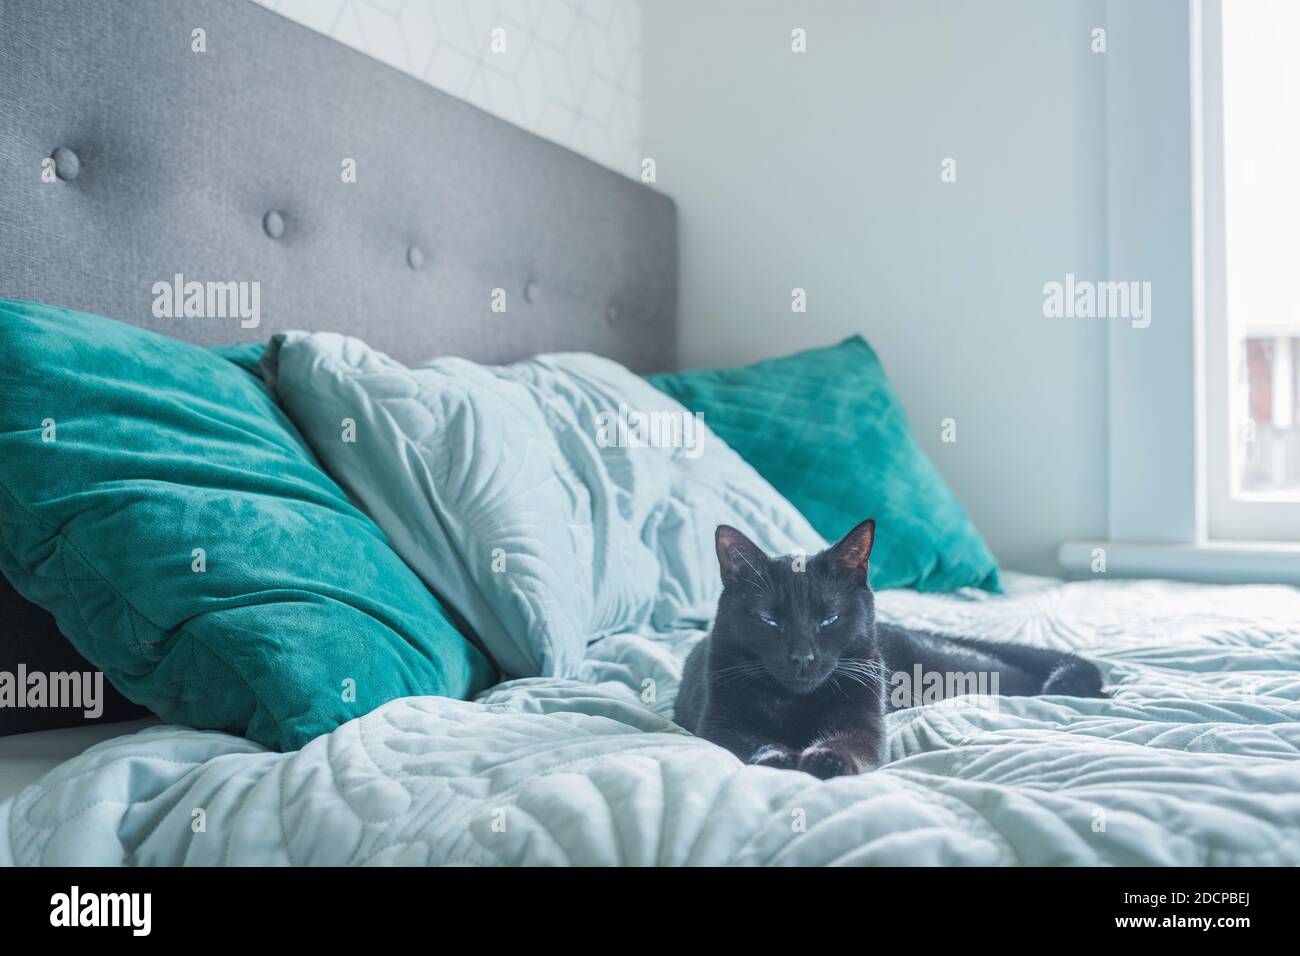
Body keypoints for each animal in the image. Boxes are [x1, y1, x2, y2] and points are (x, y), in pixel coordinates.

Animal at [670, 520, 1107, 780]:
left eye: (828, 620)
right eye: (770, 622)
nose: (802, 658)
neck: (796, 703)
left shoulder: (864, 720)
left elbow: (852, 742)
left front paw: (826, 759)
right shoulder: (722, 722)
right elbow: (749, 742)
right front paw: (775, 758)